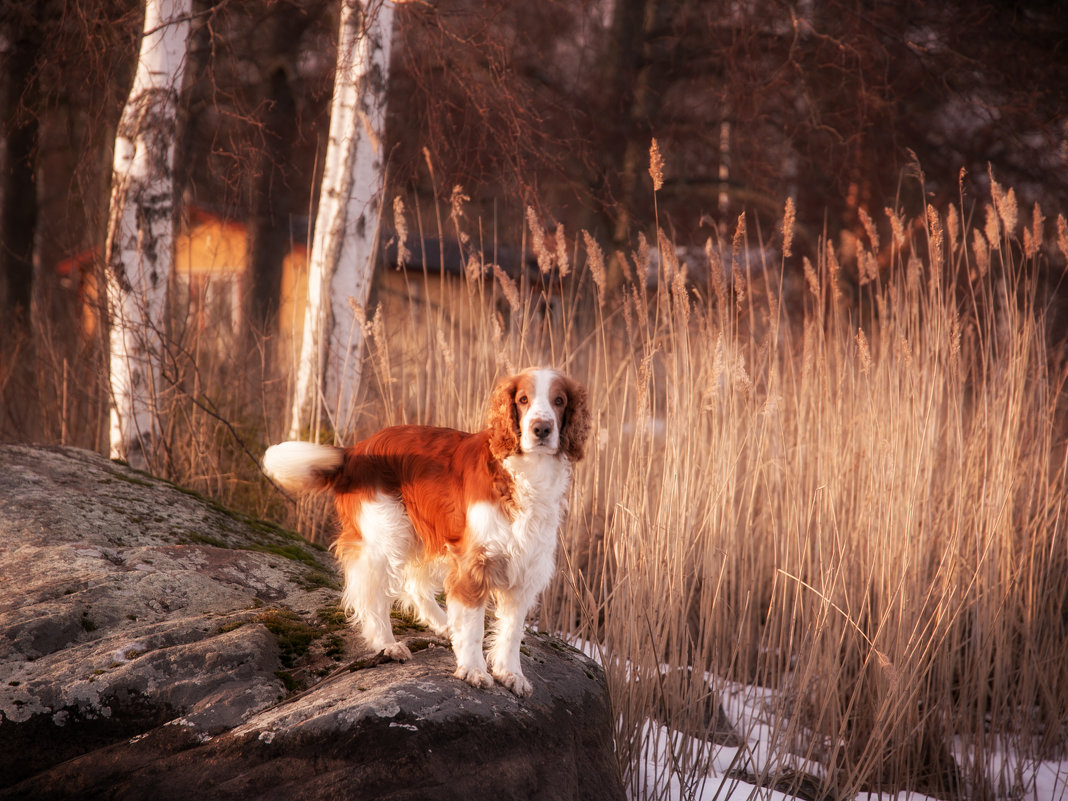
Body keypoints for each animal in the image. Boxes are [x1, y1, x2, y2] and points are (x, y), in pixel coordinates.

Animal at [261, 369, 589, 696]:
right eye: (523, 399)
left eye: (559, 401)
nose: (541, 429)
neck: (524, 473)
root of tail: (355, 451)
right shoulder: (473, 562)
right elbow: (474, 626)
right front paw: (473, 669)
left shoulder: (525, 567)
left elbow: (511, 631)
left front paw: (511, 673)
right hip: (387, 533)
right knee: (372, 596)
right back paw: (387, 644)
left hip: (420, 532)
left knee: (414, 583)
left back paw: (444, 623)